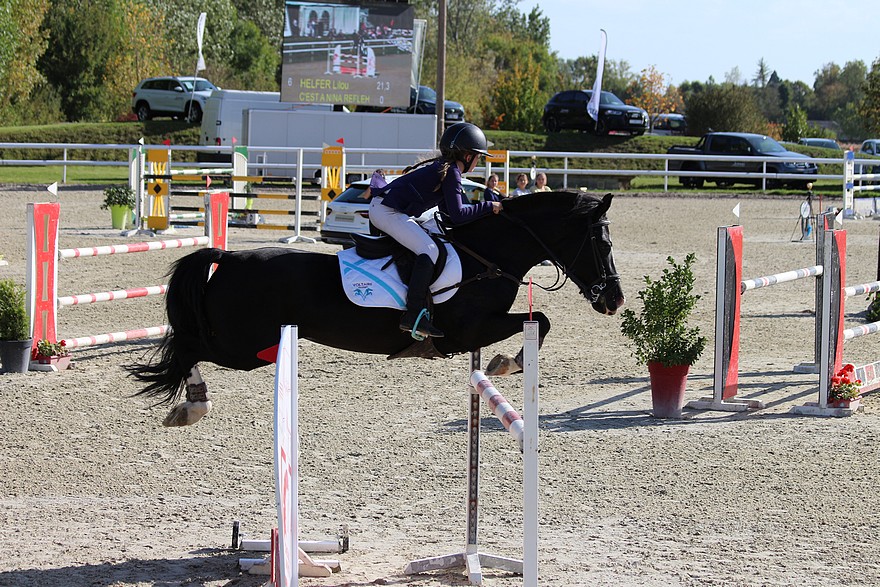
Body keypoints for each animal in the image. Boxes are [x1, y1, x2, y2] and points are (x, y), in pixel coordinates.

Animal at [131, 193, 624, 428]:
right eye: (601, 244)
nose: (614, 300)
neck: (487, 254)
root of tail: (230, 257)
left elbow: (540, 320)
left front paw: (506, 362)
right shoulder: (470, 331)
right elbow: (540, 321)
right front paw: (507, 362)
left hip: (254, 347)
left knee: (185, 348)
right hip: (241, 346)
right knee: (186, 348)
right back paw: (193, 406)